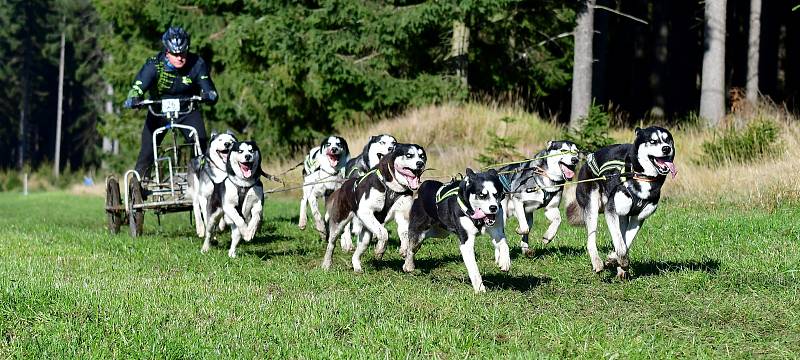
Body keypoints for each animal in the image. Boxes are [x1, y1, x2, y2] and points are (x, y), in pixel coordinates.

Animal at [322, 142, 428, 272]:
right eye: (409, 155)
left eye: (422, 156)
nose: (420, 163)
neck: (391, 188)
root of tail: (345, 185)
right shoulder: (366, 211)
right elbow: (384, 233)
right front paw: (380, 250)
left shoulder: (402, 215)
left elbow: (405, 234)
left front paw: (404, 249)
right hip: (339, 223)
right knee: (331, 244)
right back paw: (326, 263)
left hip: (366, 235)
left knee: (357, 252)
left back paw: (357, 267)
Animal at [564, 126, 680, 278]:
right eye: (653, 141)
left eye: (668, 140)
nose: (666, 148)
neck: (640, 176)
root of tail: (589, 157)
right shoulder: (611, 210)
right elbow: (620, 241)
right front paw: (618, 259)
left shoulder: (638, 217)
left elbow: (626, 241)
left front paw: (614, 258)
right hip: (592, 206)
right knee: (591, 239)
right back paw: (597, 262)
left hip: (623, 215)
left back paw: (620, 270)